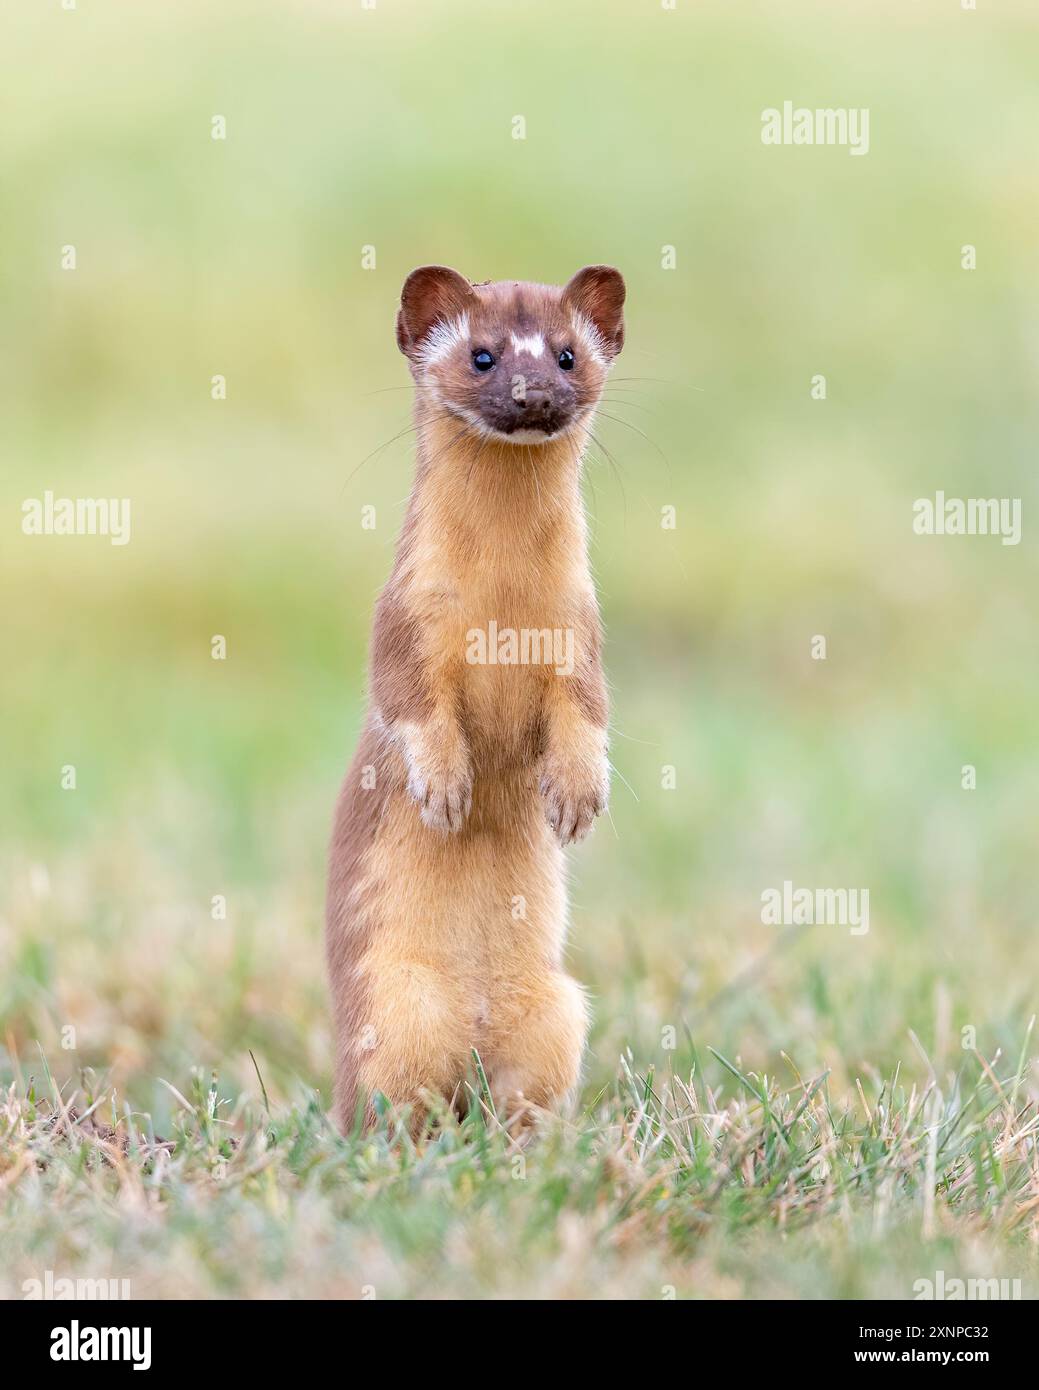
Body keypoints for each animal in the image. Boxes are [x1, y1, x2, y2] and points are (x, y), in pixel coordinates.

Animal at [325, 261, 625, 1128]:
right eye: (483, 355)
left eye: (565, 353)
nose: (531, 394)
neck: (503, 608)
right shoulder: (403, 621)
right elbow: (410, 702)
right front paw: (446, 789)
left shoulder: (579, 630)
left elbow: (587, 712)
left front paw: (576, 795)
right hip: (391, 1008)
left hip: (558, 1011)